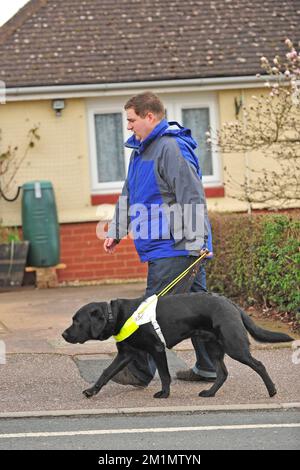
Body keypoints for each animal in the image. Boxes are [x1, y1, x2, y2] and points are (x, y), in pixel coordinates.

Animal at [61, 292, 292, 398]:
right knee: (222, 373)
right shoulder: (126, 354)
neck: (116, 316)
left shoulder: (157, 349)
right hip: (213, 346)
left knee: (258, 365)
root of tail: (231, 303)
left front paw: (164, 394)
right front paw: (91, 390)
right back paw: (210, 393)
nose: (63, 334)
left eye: (77, 321)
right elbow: (106, 372)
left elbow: (164, 374)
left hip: (234, 345)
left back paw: (272, 390)